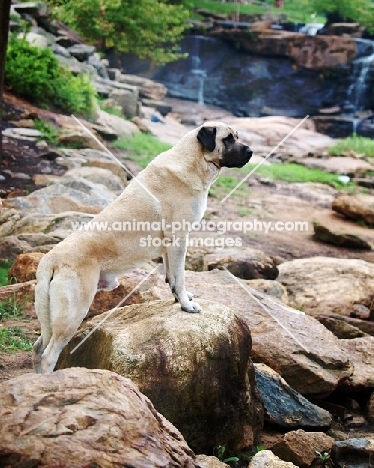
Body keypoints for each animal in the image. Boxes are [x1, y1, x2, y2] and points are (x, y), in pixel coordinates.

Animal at [32, 121, 254, 372]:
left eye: (236, 136)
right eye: (228, 139)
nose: (250, 152)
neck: (193, 160)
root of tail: (49, 260)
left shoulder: (169, 246)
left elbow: (172, 276)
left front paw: (178, 297)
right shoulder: (179, 239)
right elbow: (180, 276)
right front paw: (186, 305)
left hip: (50, 317)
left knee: (38, 347)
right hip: (72, 313)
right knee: (48, 355)